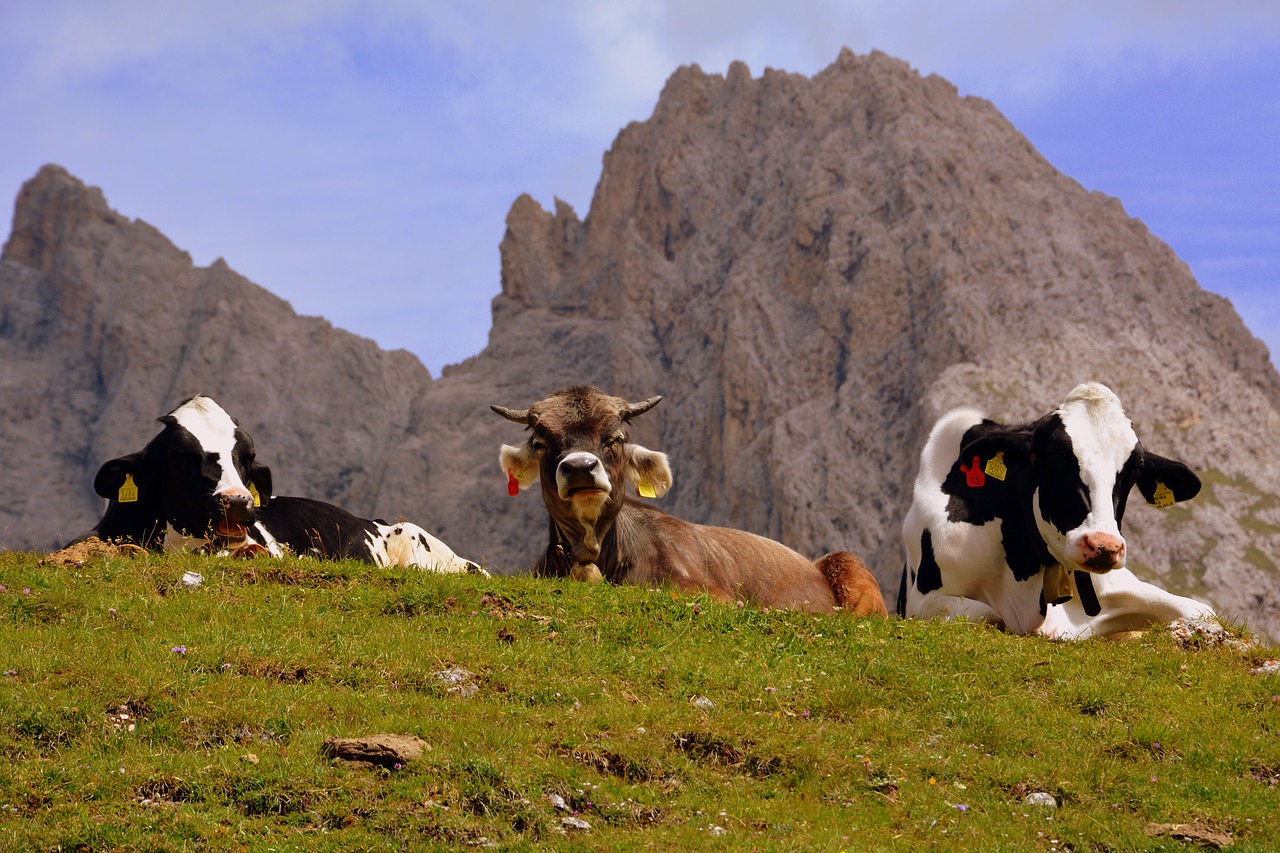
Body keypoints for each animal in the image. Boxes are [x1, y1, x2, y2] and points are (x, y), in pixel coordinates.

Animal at [896, 381, 1213, 635]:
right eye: (1055, 457)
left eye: (1135, 469)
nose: (1104, 546)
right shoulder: (922, 601)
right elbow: (988, 614)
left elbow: (1202, 611)